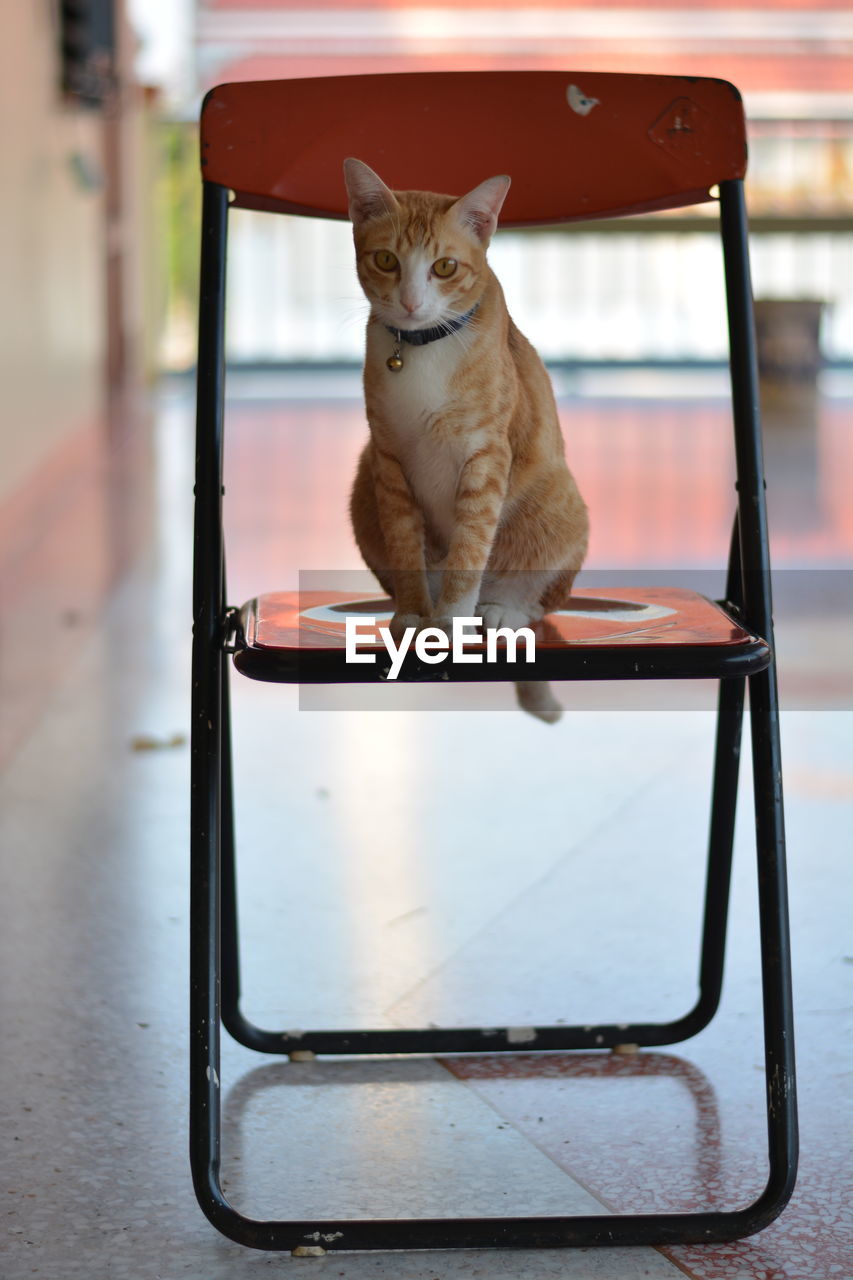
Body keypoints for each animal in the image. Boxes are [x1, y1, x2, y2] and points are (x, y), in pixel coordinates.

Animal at [338, 158, 584, 721]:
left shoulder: (486, 456)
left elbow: (471, 545)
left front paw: (449, 618)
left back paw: (499, 610)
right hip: (362, 489)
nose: (410, 302)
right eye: (386, 260)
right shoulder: (387, 459)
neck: (423, 349)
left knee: (540, 598)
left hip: (559, 503)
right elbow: (404, 544)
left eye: (445, 267)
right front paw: (415, 614)